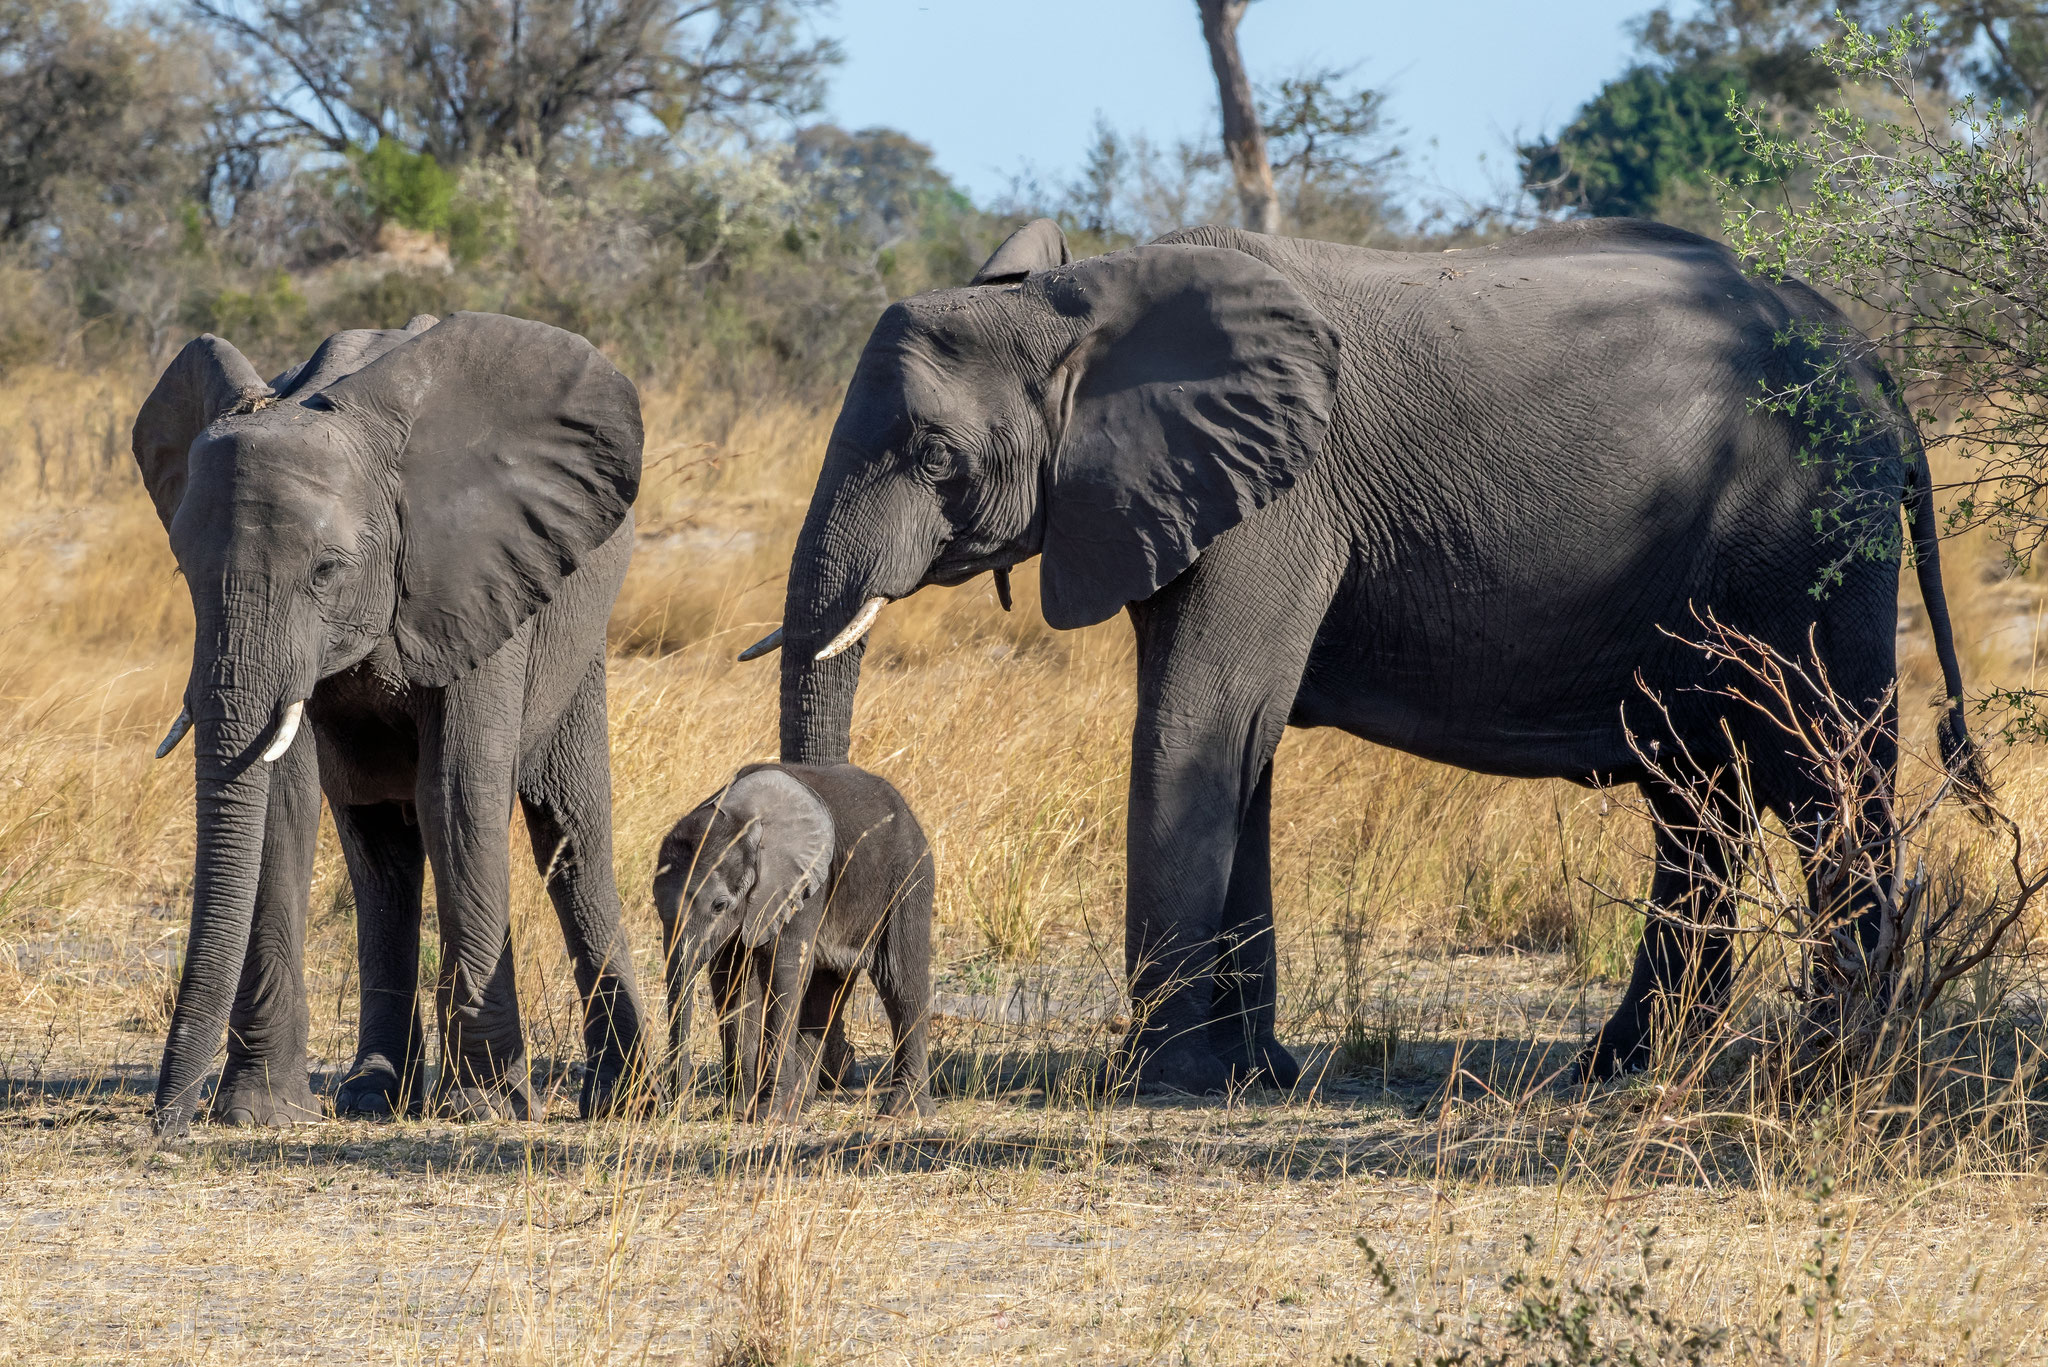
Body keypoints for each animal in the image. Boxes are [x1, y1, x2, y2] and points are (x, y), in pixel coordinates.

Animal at [134, 315, 647, 1139]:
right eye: (183, 570)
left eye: (326, 570)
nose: (168, 1123)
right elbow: (283, 801)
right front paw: (261, 1115)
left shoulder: (480, 576)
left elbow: (458, 795)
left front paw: (486, 1108)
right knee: (380, 842)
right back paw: (373, 1095)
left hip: (576, 629)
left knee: (570, 830)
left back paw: (624, 1100)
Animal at [655, 758, 937, 1123]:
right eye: (656, 906)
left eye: (719, 905)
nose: (675, 1110)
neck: (741, 817)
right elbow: (733, 982)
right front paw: (737, 1111)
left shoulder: (801, 882)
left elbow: (783, 972)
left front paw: (767, 1115)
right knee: (825, 991)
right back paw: (799, 1107)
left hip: (908, 876)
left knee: (899, 981)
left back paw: (902, 1112)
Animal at [741, 216, 1982, 1090]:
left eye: (936, 456)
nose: (833, 1065)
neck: (1083, 296)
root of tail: (1875, 368)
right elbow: (1234, 741)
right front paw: (1251, 1076)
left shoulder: (1277, 501)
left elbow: (1195, 721)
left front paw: (1153, 1082)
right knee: (1696, 794)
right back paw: (1627, 1065)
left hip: (1810, 541)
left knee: (1820, 769)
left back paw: (1828, 1056)